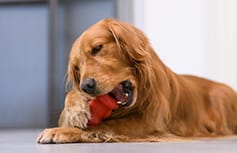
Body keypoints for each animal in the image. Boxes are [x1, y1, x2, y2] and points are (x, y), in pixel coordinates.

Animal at [37, 17, 237, 143]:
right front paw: (75, 111)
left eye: (97, 48)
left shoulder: (150, 123)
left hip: (220, 96)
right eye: (77, 68)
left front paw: (62, 131)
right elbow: (73, 95)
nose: (87, 86)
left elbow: (105, 126)